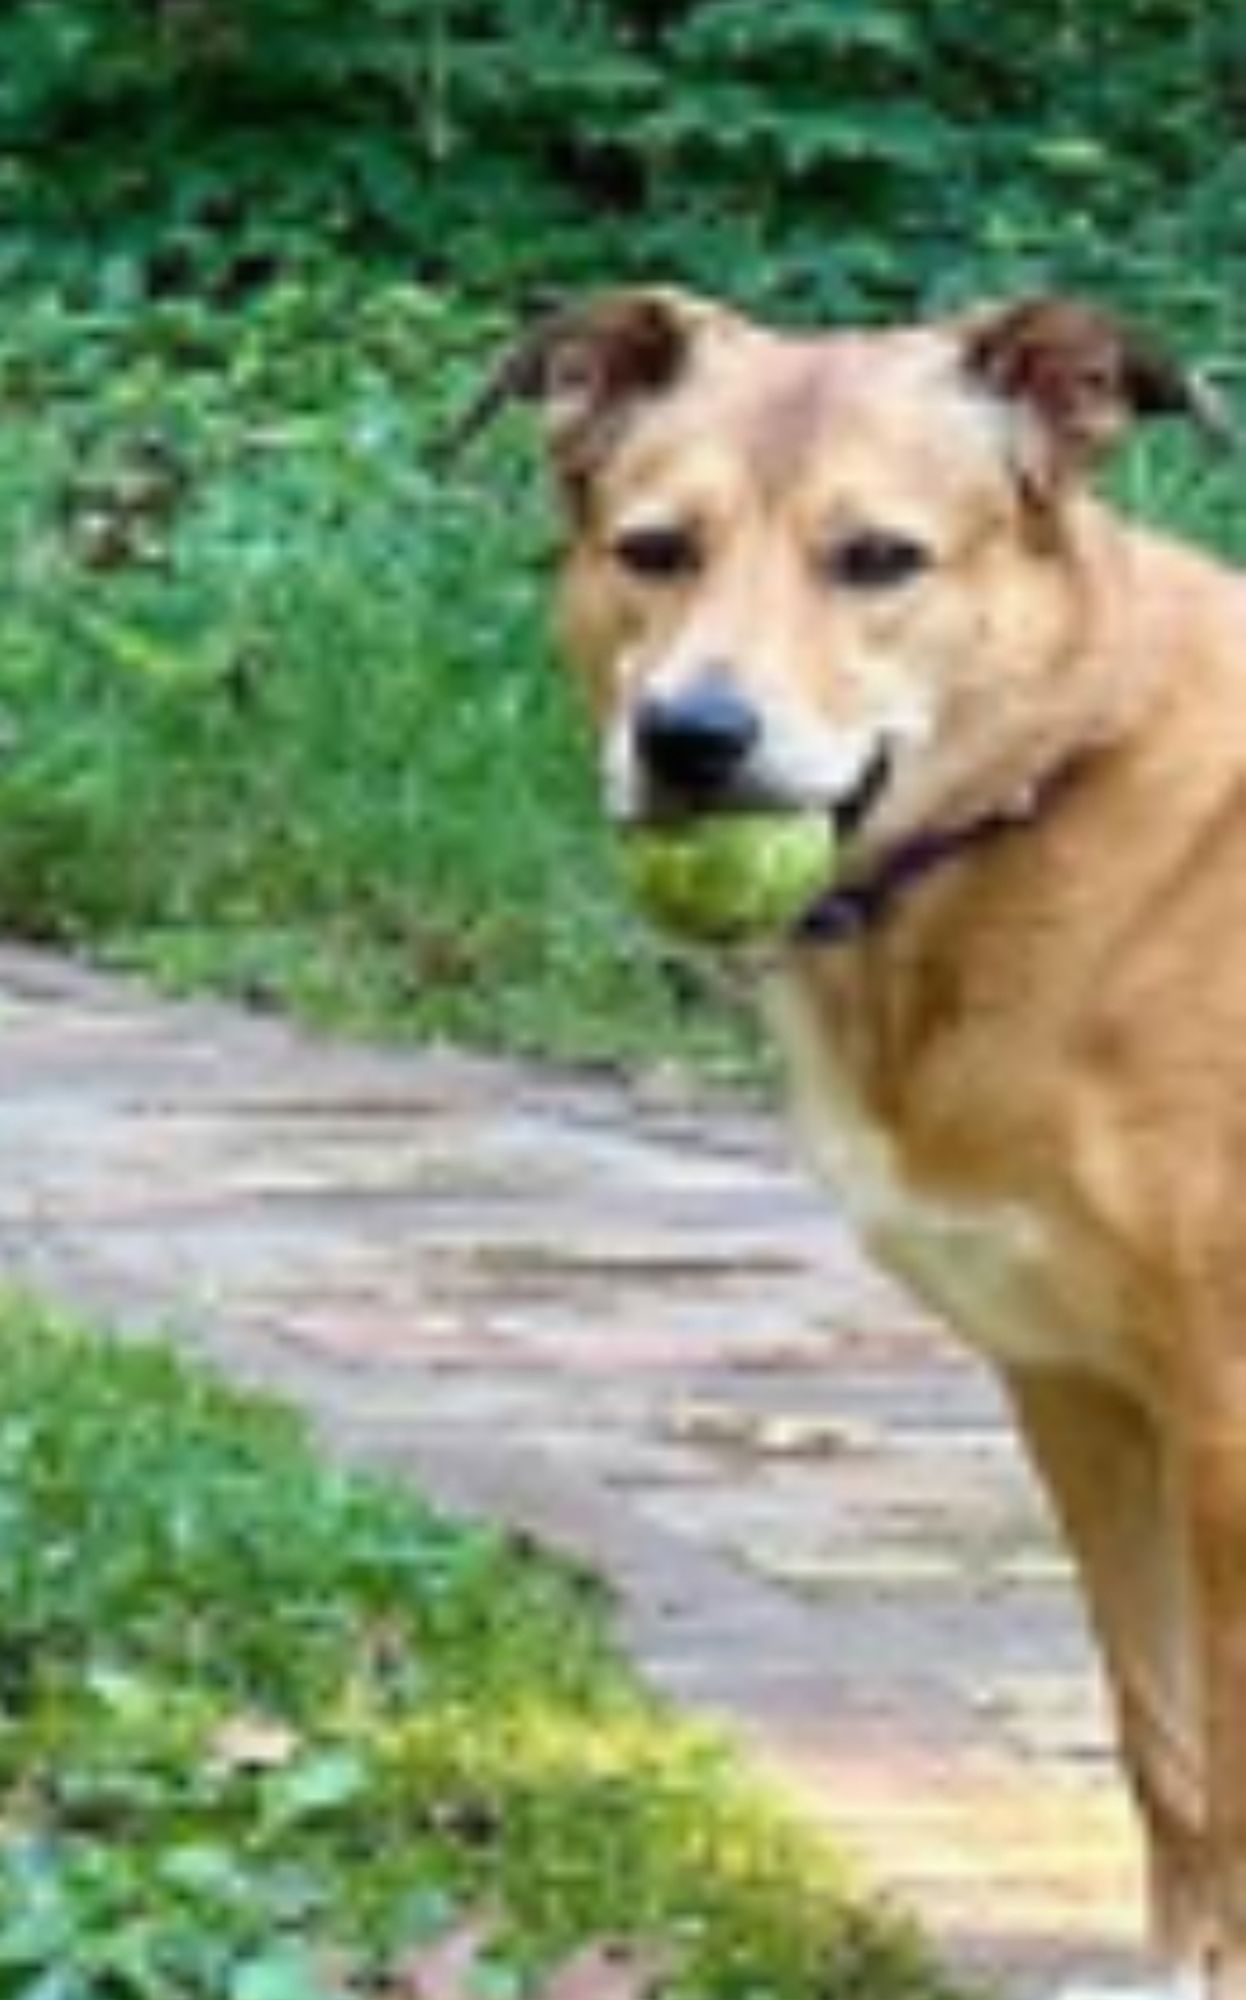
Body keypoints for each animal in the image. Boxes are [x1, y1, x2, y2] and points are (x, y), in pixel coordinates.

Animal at [466, 286, 1246, 2000]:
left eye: (880, 558)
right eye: (652, 548)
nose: (689, 737)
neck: (1050, 792)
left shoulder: (1225, 1412)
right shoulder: (1081, 1392)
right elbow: (1166, 1748)